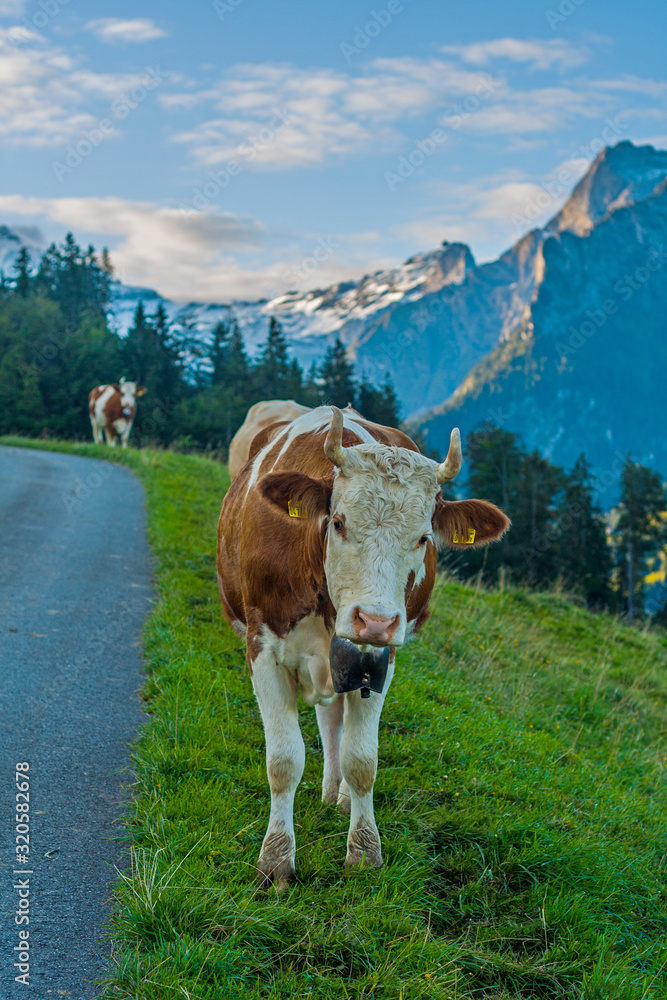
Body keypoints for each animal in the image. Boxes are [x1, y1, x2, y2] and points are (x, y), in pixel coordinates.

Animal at [217, 402, 508, 888]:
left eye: (424, 537)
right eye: (338, 522)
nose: (375, 621)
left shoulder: (379, 660)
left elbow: (362, 760)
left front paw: (365, 851)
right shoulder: (263, 647)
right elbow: (283, 762)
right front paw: (276, 860)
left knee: (336, 719)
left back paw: (339, 795)